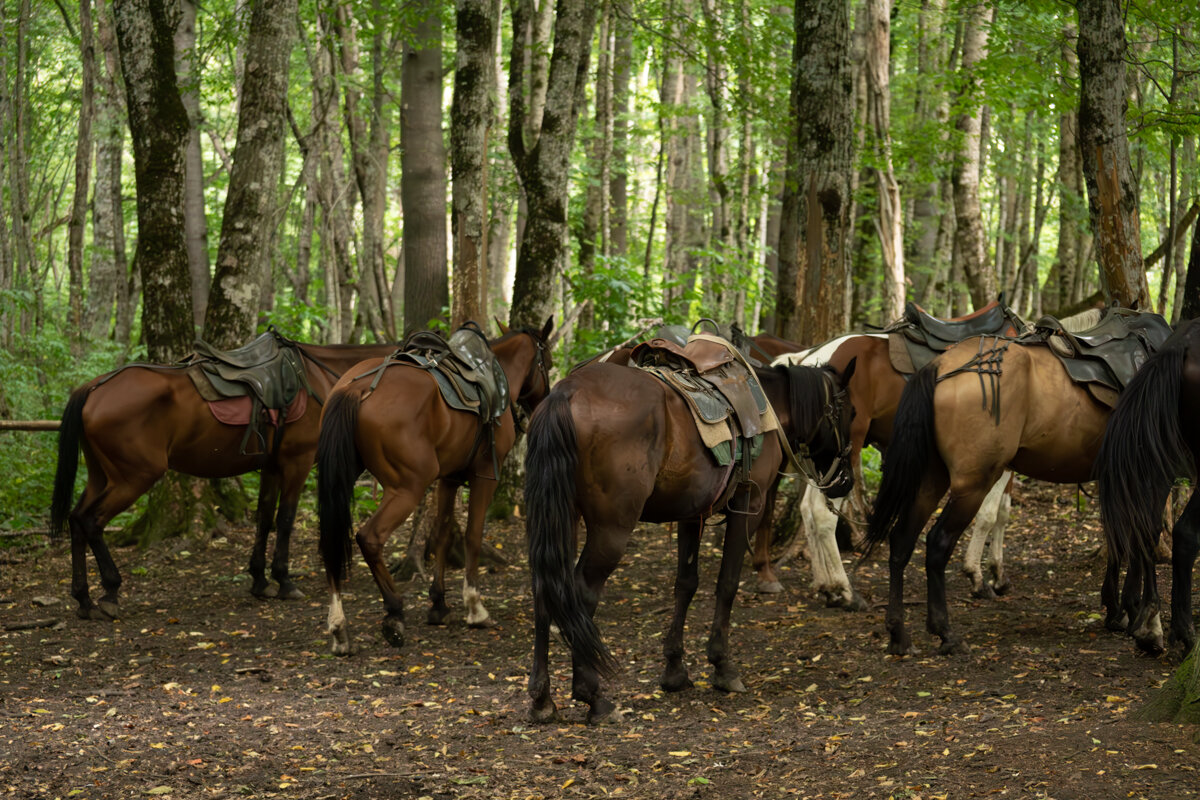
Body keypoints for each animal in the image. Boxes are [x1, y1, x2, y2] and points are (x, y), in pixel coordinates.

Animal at [48, 338, 398, 618]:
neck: (319, 378)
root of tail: (94, 388)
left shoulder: (271, 466)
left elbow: (264, 518)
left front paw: (260, 579)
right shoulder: (296, 462)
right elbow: (285, 520)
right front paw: (284, 581)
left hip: (101, 475)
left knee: (76, 519)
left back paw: (83, 599)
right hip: (133, 478)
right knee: (92, 521)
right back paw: (110, 590)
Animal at [312, 321, 549, 657]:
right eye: (547, 362)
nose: (545, 398)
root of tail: (356, 388)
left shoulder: (448, 479)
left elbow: (442, 534)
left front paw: (438, 604)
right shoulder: (484, 476)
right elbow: (472, 535)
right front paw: (475, 607)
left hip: (340, 478)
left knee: (330, 541)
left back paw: (339, 627)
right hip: (408, 487)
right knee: (370, 537)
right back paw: (394, 611)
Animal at [523, 359, 854, 724]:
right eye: (850, 413)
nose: (846, 480)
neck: (769, 408)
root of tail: (567, 392)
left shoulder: (691, 515)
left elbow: (686, 584)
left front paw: (675, 669)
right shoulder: (748, 505)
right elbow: (727, 583)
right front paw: (723, 666)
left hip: (560, 516)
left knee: (545, 588)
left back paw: (542, 699)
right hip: (612, 528)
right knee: (581, 594)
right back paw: (593, 696)